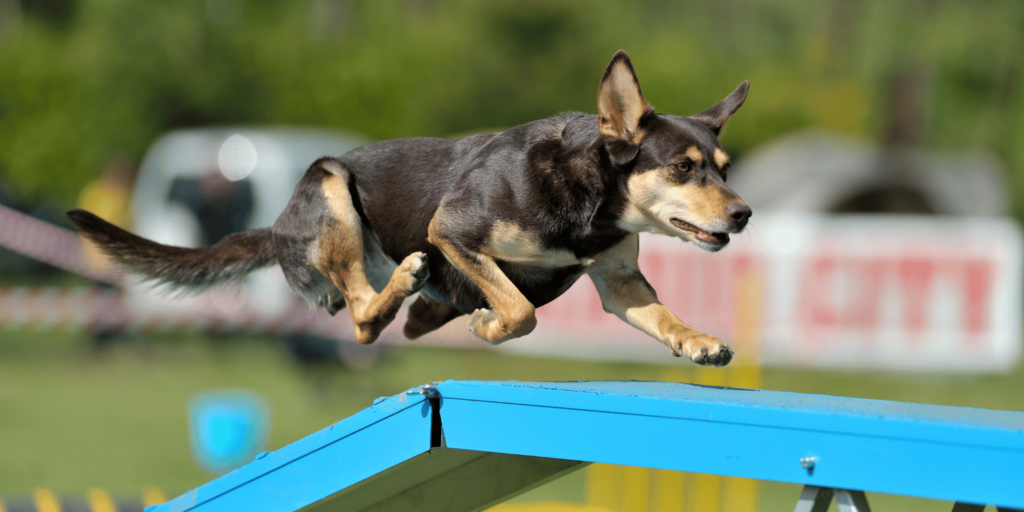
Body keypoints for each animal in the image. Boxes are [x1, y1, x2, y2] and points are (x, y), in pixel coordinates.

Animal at [66, 49, 753, 366]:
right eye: (682, 168)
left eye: (723, 168)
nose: (743, 214)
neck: (590, 206)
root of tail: (276, 224)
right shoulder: (453, 231)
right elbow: (521, 309)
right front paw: (491, 325)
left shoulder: (618, 280)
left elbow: (661, 315)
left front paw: (698, 342)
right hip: (331, 188)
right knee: (363, 319)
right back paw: (407, 283)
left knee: (386, 322)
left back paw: (422, 307)